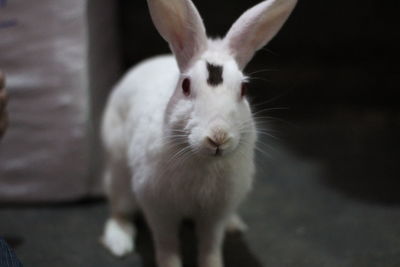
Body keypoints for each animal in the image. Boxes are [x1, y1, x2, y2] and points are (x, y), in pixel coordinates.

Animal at [101, 0, 296, 267]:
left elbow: (210, 245)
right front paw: (169, 264)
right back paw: (118, 242)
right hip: (119, 174)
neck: (202, 159)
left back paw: (234, 225)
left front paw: (212, 263)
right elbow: (167, 245)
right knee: (119, 210)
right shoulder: (158, 208)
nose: (218, 137)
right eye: (185, 86)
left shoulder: (216, 212)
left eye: (244, 89)